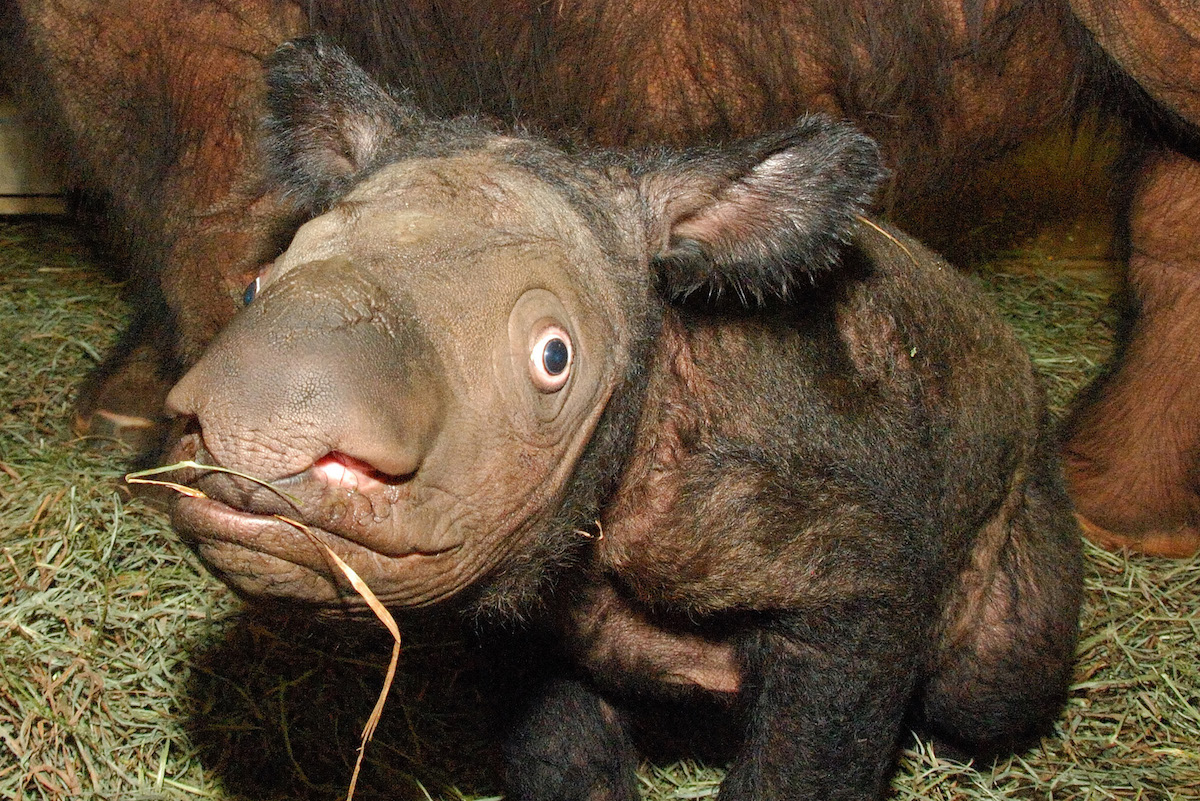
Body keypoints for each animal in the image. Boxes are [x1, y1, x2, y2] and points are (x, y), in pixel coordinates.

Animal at [164, 40, 1084, 801]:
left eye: (555, 357)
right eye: (253, 285)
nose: (256, 435)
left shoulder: (848, 583)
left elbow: (809, 753)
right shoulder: (527, 602)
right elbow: (560, 748)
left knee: (994, 682)